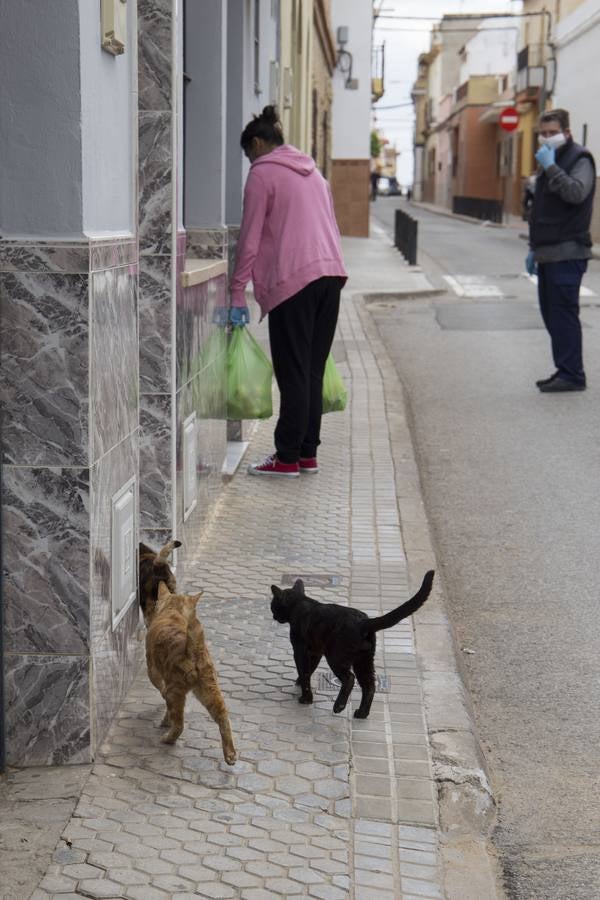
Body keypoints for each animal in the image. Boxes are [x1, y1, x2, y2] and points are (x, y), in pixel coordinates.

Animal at [274, 572, 436, 720]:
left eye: (273, 606)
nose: (274, 617)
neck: (300, 604)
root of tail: (363, 622)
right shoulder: (315, 652)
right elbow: (309, 669)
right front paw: (300, 683)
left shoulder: (300, 650)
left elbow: (304, 671)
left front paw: (306, 698)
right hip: (364, 661)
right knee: (369, 686)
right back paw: (362, 713)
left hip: (336, 658)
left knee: (349, 679)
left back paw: (339, 706)